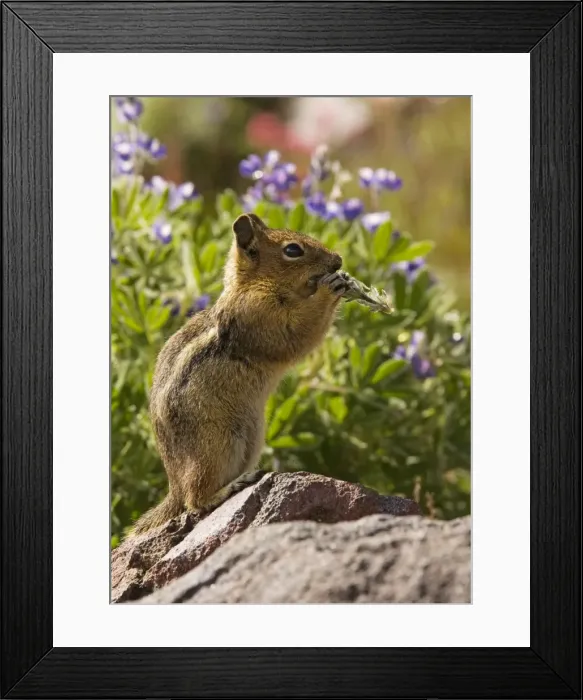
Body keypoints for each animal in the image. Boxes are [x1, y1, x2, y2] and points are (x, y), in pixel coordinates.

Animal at [129, 212, 346, 536]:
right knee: (194, 501)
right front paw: (331, 287)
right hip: (216, 445)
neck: (254, 285)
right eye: (293, 250)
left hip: (252, 439)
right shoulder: (260, 314)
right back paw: (228, 489)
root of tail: (173, 486)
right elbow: (297, 332)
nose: (339, 260)